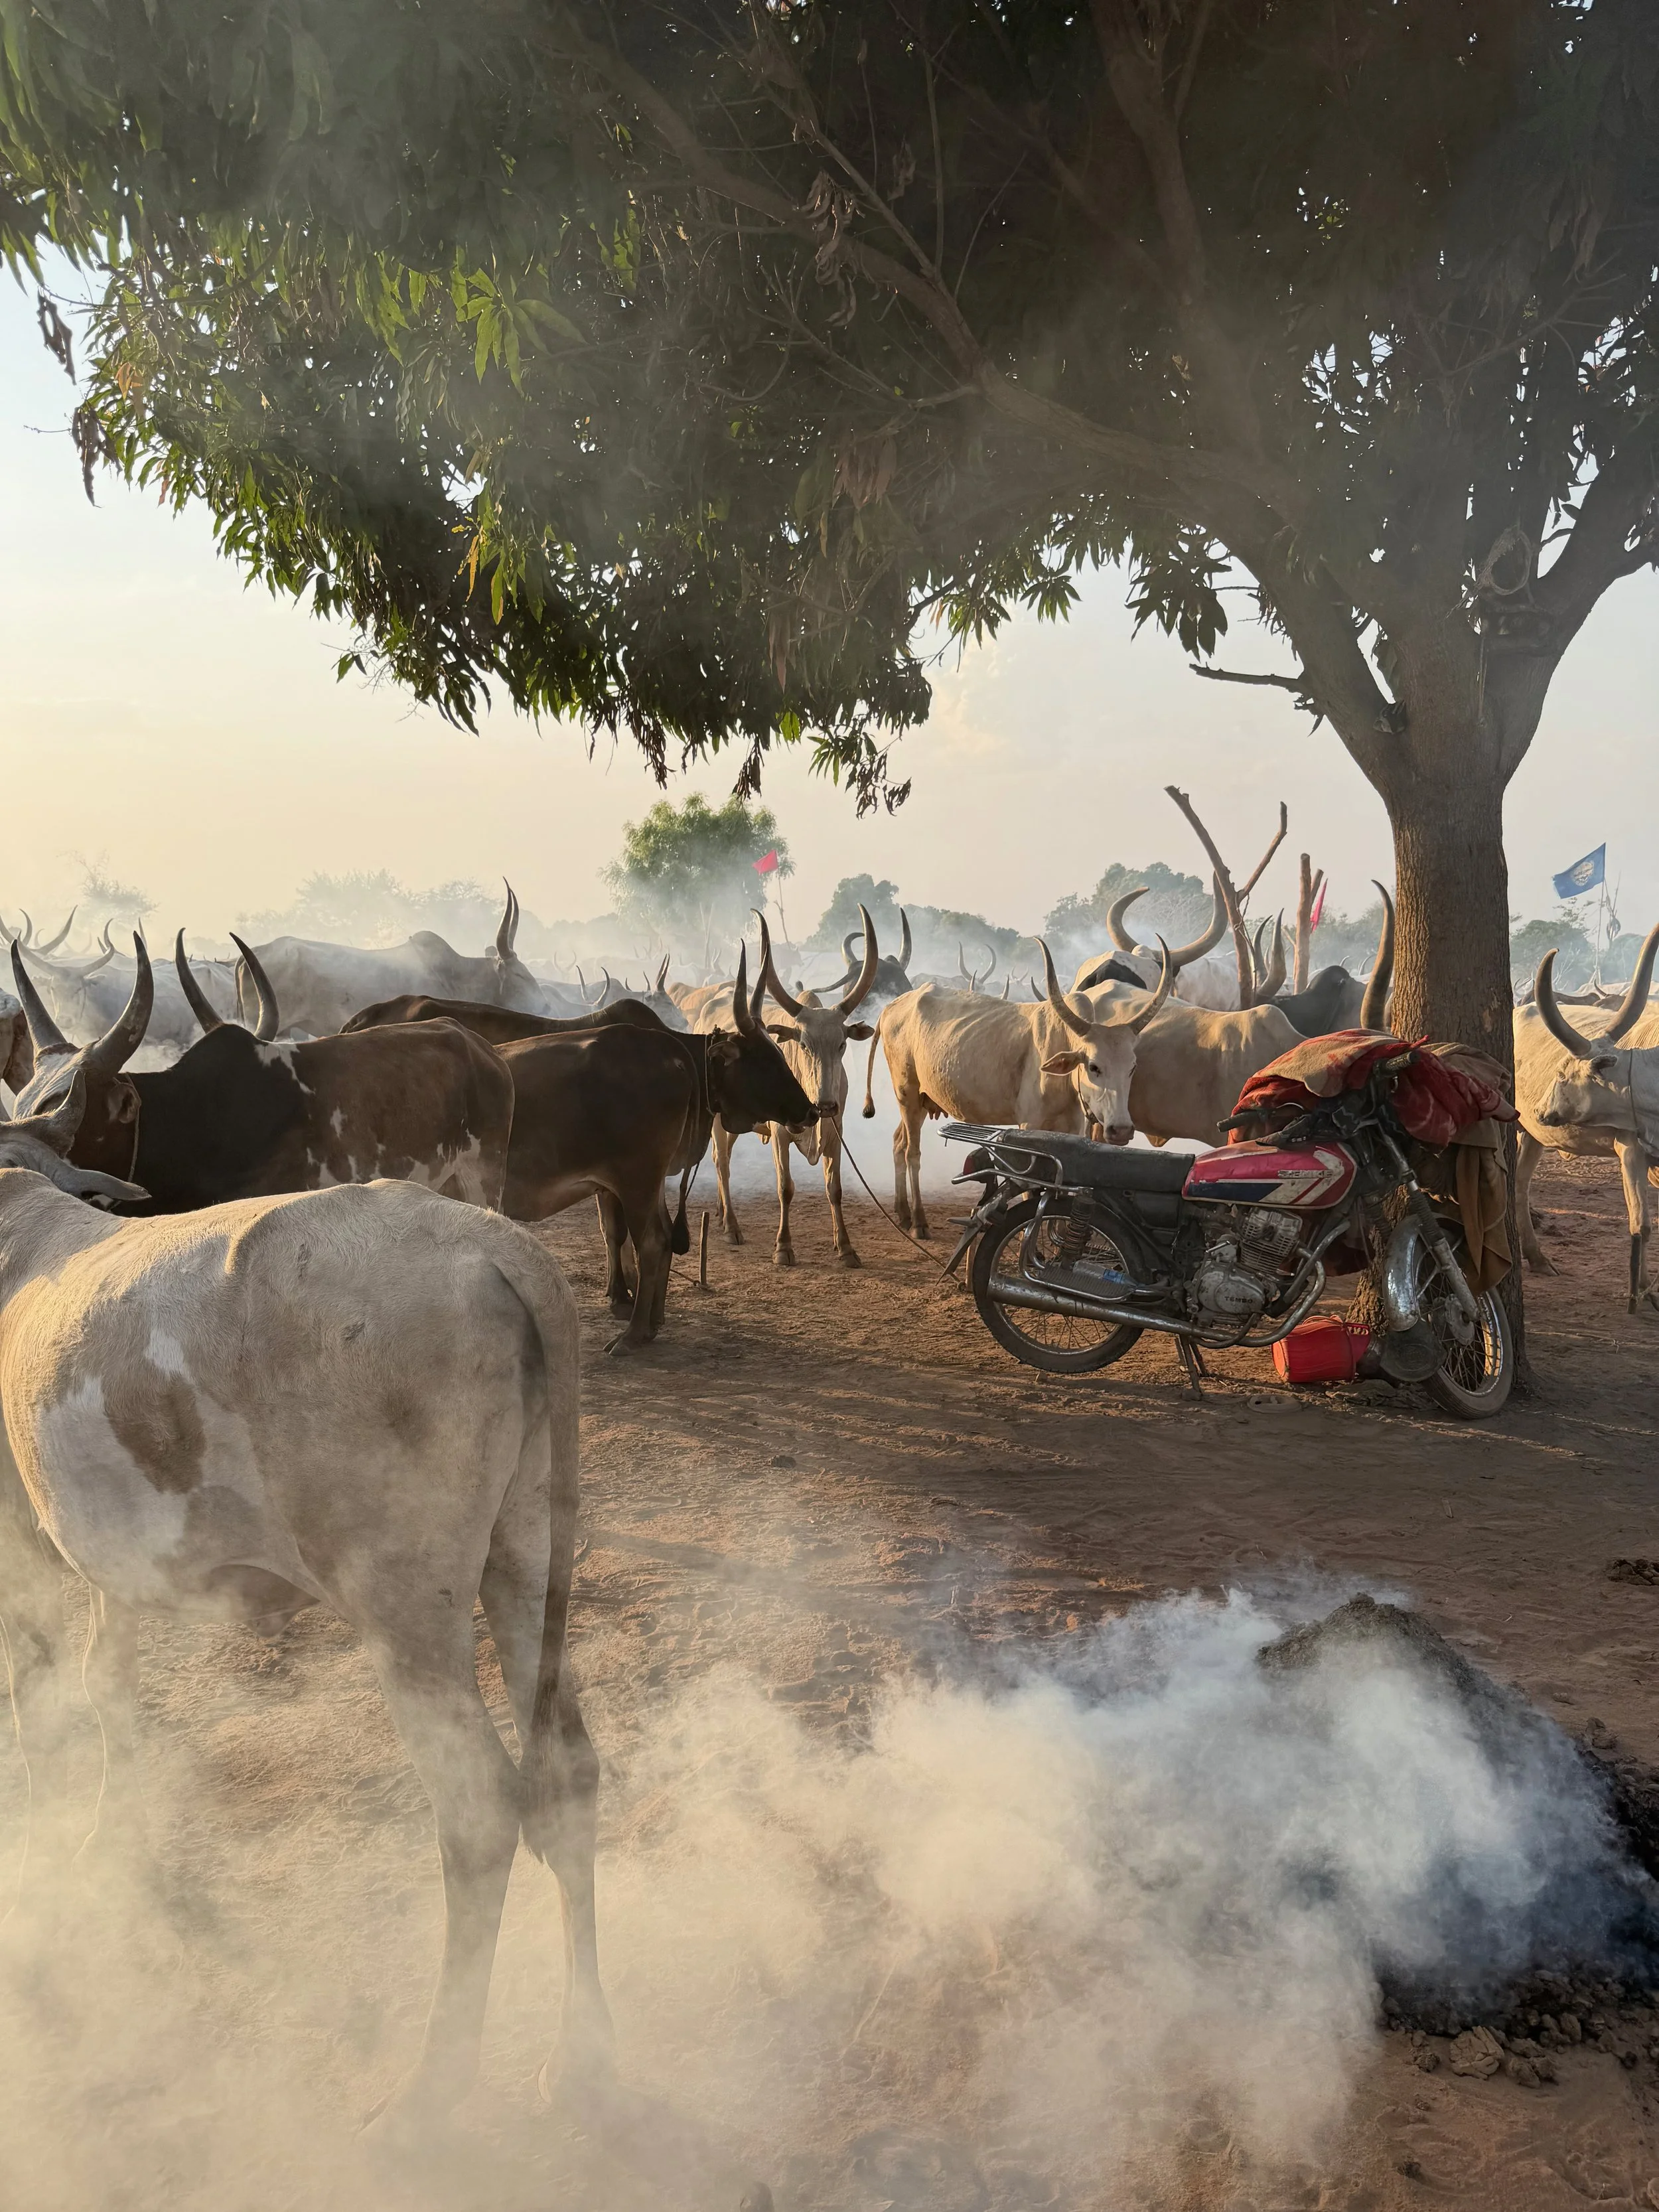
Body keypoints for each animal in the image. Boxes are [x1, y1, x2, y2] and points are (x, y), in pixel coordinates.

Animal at [0, 1076, 608, 2128]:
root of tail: (499, 1247)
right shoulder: (111, 1568)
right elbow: (108, 1689)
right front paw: (111, 1846)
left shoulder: (20, 1550)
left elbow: (39, 1715)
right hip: (529, 1558)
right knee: (567, 1773)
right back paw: (584, 2055)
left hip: (405, 1609)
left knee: (480, 1809)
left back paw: (431, 2093)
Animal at [492, 937, 817, 1349]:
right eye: (764, 1060)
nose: (811, 1110)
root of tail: (674, 1058)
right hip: (645, 1179)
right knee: (659, 1238)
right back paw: (649, 1322)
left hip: (639, 1178)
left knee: (652, 1241)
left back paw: (634, 1333)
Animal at [862, 940, 1175, 1237]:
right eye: (1094, 1067)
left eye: (1132, 1067)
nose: (1120, 1130)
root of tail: (891, 1007)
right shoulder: (1030, 1127)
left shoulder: (1073, 1130)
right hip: (907, 1093)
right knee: (912, 1153)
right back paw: (918, 1221)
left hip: (921, 1100)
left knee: (898, 1142)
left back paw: (902, 1212)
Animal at [1516, 925, 1659, 1309]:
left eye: (1562, 1073)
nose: (1541, 1110)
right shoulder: (1630, 1148)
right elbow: (1642, 1224)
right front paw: (1642, 1292)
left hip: (1532, 1136)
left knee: (1519, 1185)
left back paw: (1536, 1259)